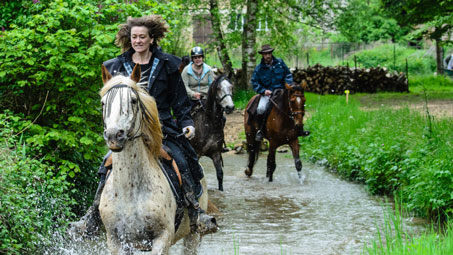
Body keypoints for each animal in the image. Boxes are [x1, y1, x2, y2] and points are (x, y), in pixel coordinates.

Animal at [99, 64, 208, 254]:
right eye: (103, 103)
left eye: (133, 101)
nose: (114, 136)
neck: (130, 189)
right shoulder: (116, 241)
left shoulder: (162, 238)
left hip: (192, 236)